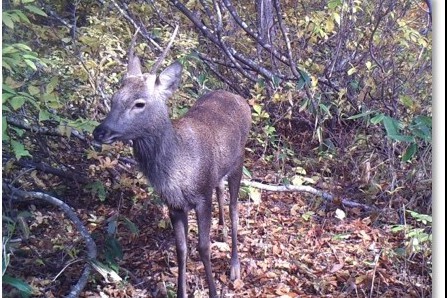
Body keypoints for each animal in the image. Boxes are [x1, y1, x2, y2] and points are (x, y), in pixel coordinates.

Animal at [92, 26, 252, 296]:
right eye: (114, 98)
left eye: (139, 103)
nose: (100, 132)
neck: (176, 172)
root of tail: (239, 98)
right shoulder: (174, 205)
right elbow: (182, 249)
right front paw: (181, 291)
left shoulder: (201, 195)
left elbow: (203, 247)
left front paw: (213, 290)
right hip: (219, 172)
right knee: (221, 191)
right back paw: (221, 231)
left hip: (239, 161)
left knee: (234, 209)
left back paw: (234, 266)